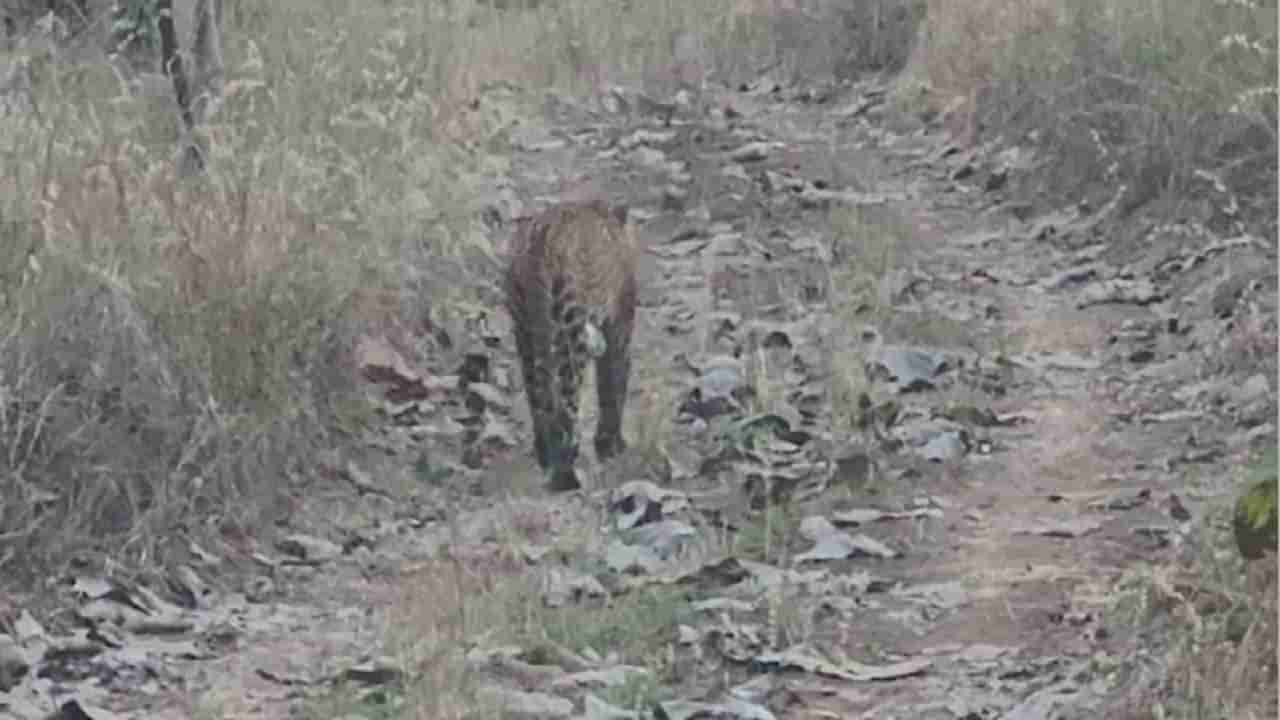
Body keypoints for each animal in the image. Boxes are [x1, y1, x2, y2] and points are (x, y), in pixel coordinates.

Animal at [501, 198, 637, 489]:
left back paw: (547, 455)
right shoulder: (619, 326)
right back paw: (566, 473)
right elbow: (613, 384)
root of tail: (544, 238)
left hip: (527, 330)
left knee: (540, 395)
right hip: (572, 330)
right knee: (567, 400)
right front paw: (611, 444)